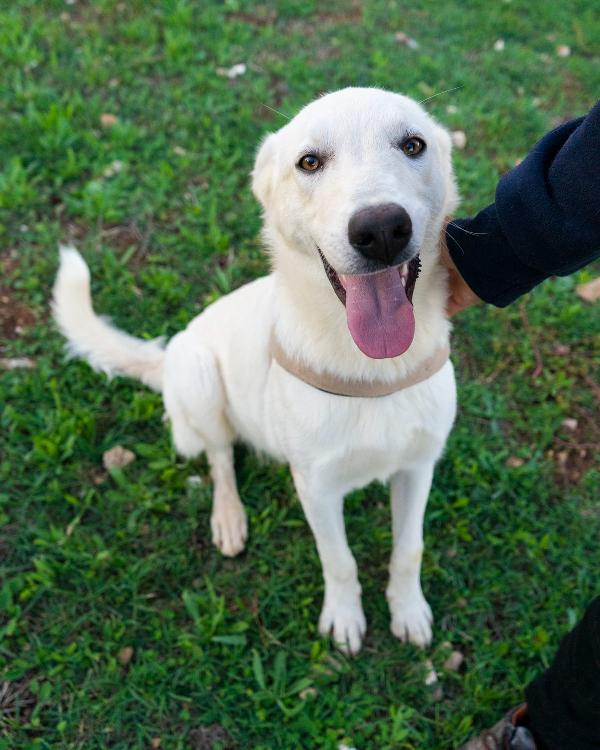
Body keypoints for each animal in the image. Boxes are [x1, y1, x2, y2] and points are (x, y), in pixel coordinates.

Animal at [56, 86, 460, 652]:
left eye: (413, 144)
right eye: (309, 162)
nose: (381, 229)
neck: (372, 372)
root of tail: (167, 356)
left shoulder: (418, 468)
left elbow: (409, 550)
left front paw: (408, 609)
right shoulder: (316, 487)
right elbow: (339, 561)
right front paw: (345, 617)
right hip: (199, 378)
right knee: (220, 458)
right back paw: (228, 516)